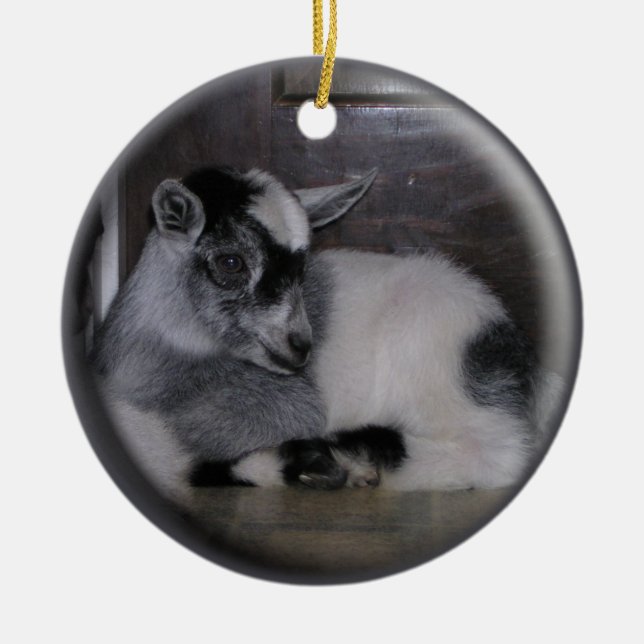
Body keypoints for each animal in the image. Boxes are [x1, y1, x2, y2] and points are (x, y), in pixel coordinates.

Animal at [92, 166, 561, 501]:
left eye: (302, 267)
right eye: (230, 262)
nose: (302, 346)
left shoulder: (289, 408)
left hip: (442, 377)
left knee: (497, 454)